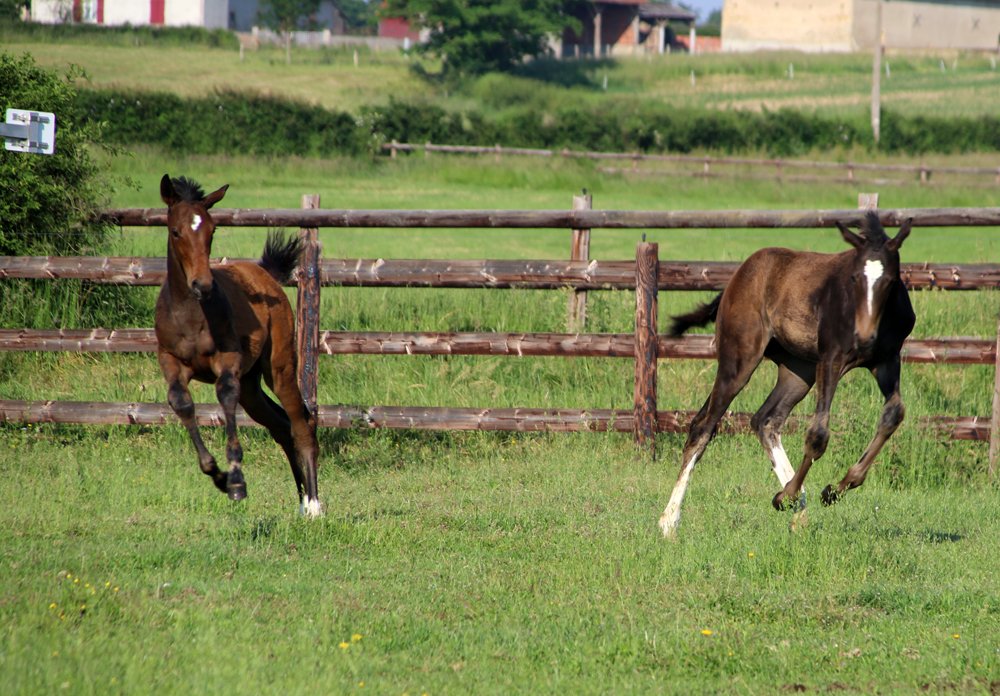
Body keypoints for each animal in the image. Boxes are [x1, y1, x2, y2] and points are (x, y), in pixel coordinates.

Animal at [155, 174, 321, 517]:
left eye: (212, 230)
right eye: (176, 231)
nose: (202, 284)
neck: (190, 313)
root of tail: (263, 273)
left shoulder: (227, 360)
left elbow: (224, 393)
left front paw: (236, 481)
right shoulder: (170, 360)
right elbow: (181, 402)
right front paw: (216, 474)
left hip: (279, 367)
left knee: (302, 424)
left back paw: (313, 505)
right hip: (252, 387)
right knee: (281, 426)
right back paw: (300, 501)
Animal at [659, 211, 914, 537]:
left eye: (890, 281)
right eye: (854, 278)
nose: (864, 337)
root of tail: (736, 279)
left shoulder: (886, 360)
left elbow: (893, 414)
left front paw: (832, 490)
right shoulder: (832, 358)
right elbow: (818, 434)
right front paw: (793, 495)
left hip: (798, 370)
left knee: (765, 420)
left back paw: (797, 510)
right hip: (740, 358)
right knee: (703, 426)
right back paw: (669, 521)